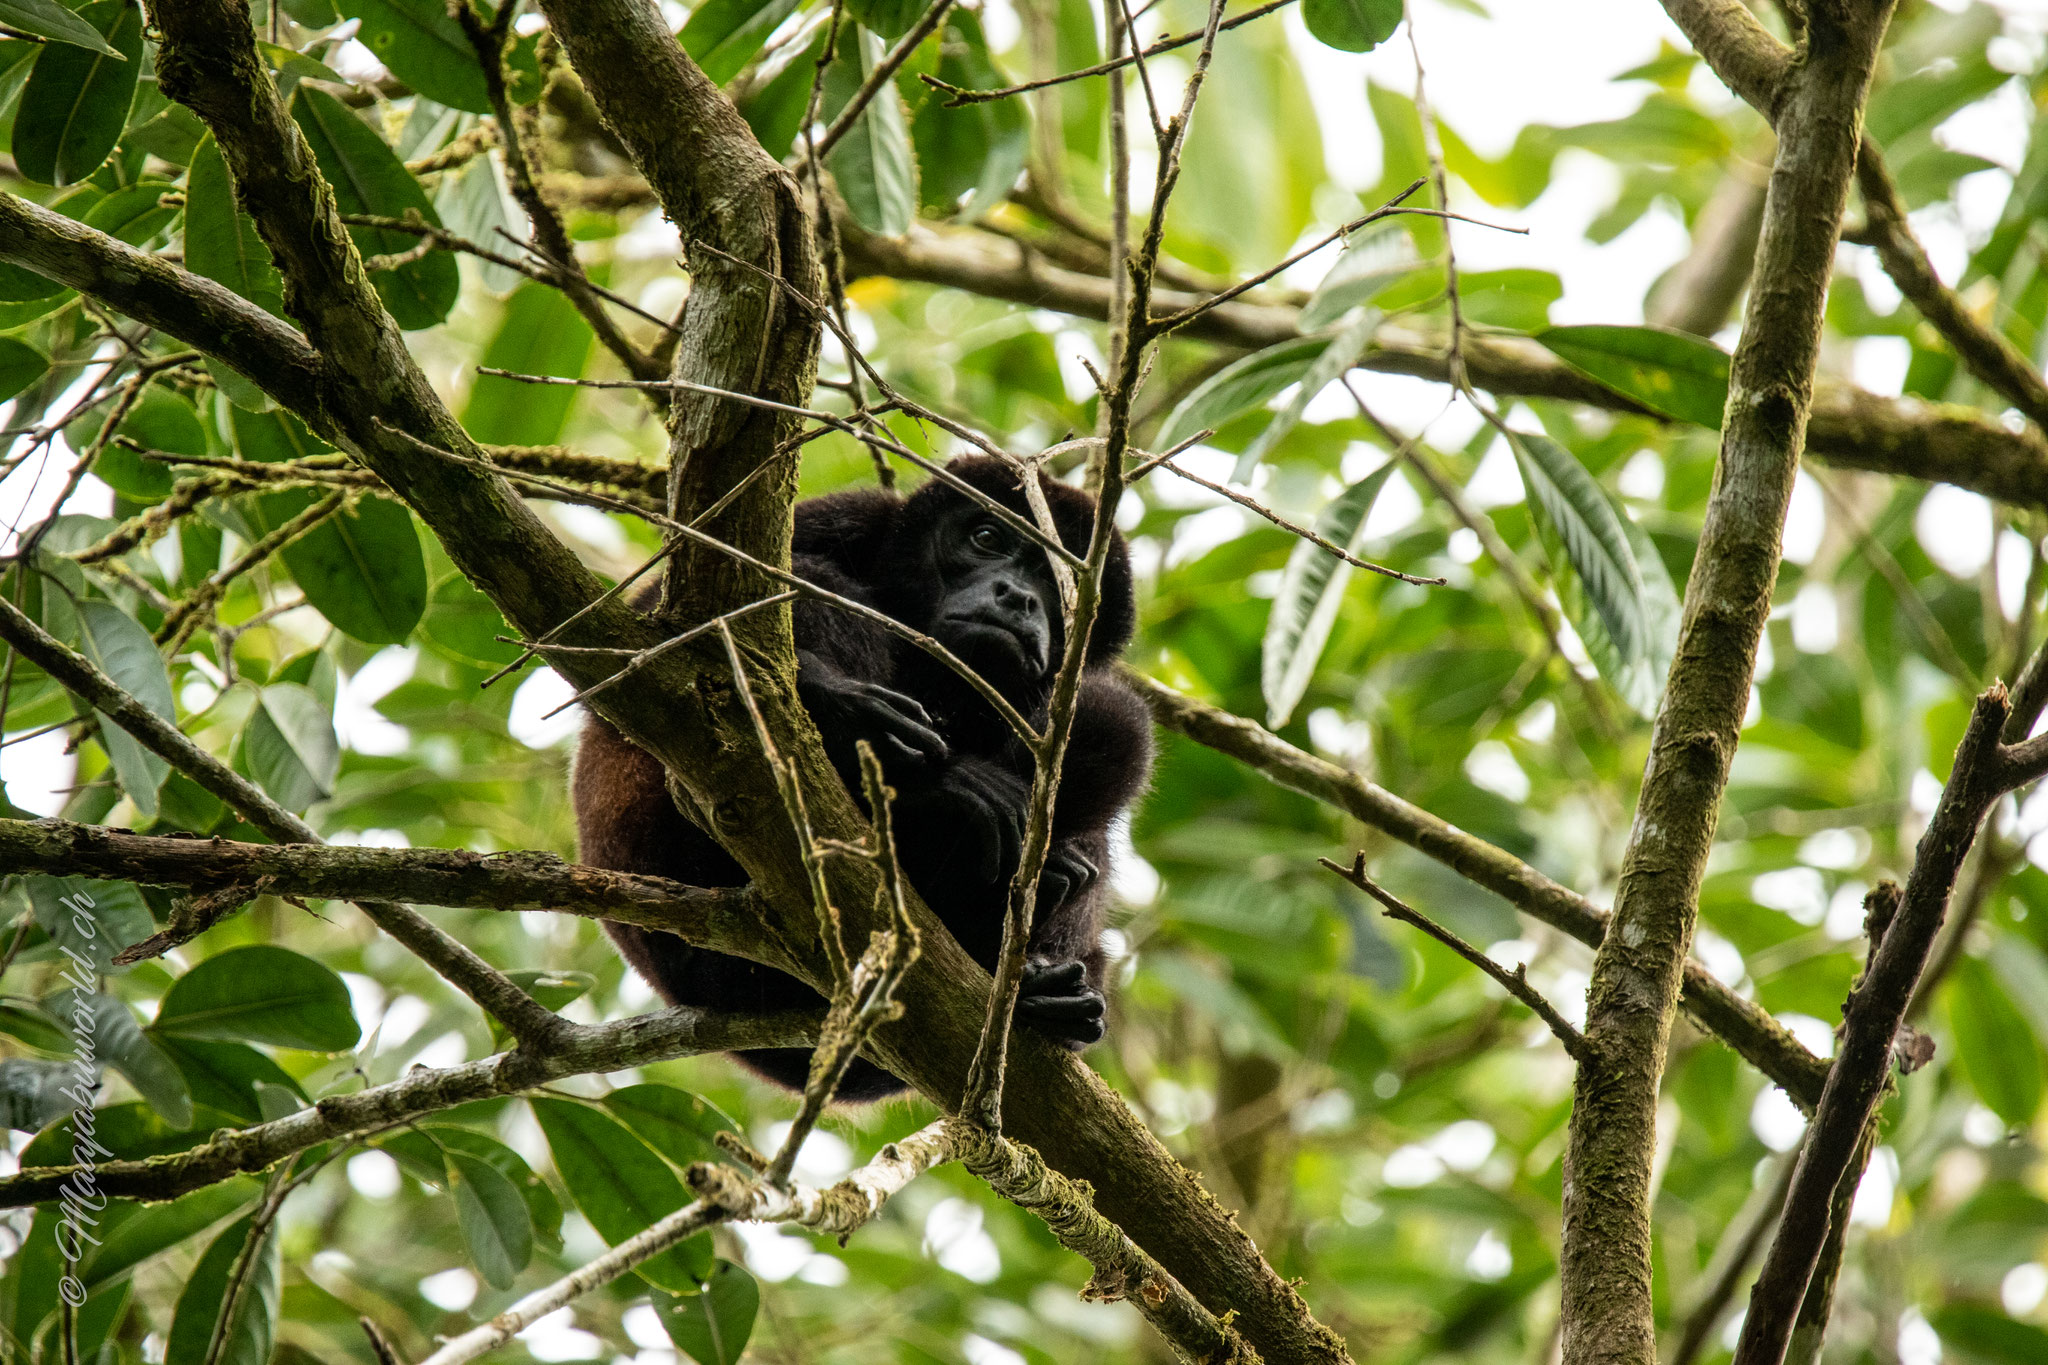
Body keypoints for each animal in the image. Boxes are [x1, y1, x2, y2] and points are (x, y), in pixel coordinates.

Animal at [573, 458, 1155, 1096]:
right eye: (986, 538)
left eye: (1058, 584)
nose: (1019, 596)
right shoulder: (843, 517)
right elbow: (649, 642)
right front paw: (845, 705)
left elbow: (1113, 720)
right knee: (812, 582)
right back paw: (918, 788)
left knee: (1111, 725)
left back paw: (1039, 964)